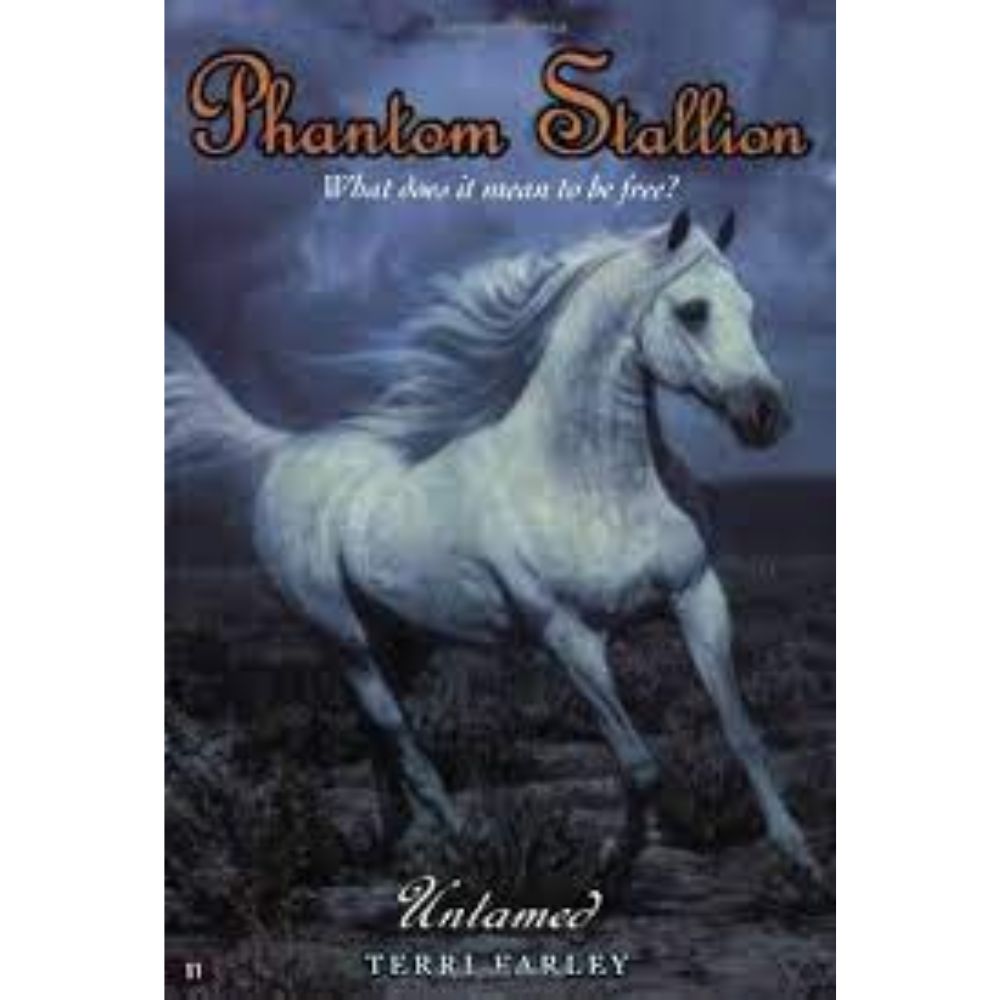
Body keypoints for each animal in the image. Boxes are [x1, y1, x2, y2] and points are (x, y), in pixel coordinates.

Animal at [166, 209, 819, 878]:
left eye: (749, 308)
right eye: (693, 311)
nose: (767, 415)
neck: (591, 482)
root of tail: (284, 453)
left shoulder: (697, 597)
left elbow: (742, 733)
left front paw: (801, 861)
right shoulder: (568, 635)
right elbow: (640, 766)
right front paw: (612, 860)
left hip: (401, 639)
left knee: (377, 735)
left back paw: (396, 841)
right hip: (343, 639)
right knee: (397, 734)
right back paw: (462, 844)